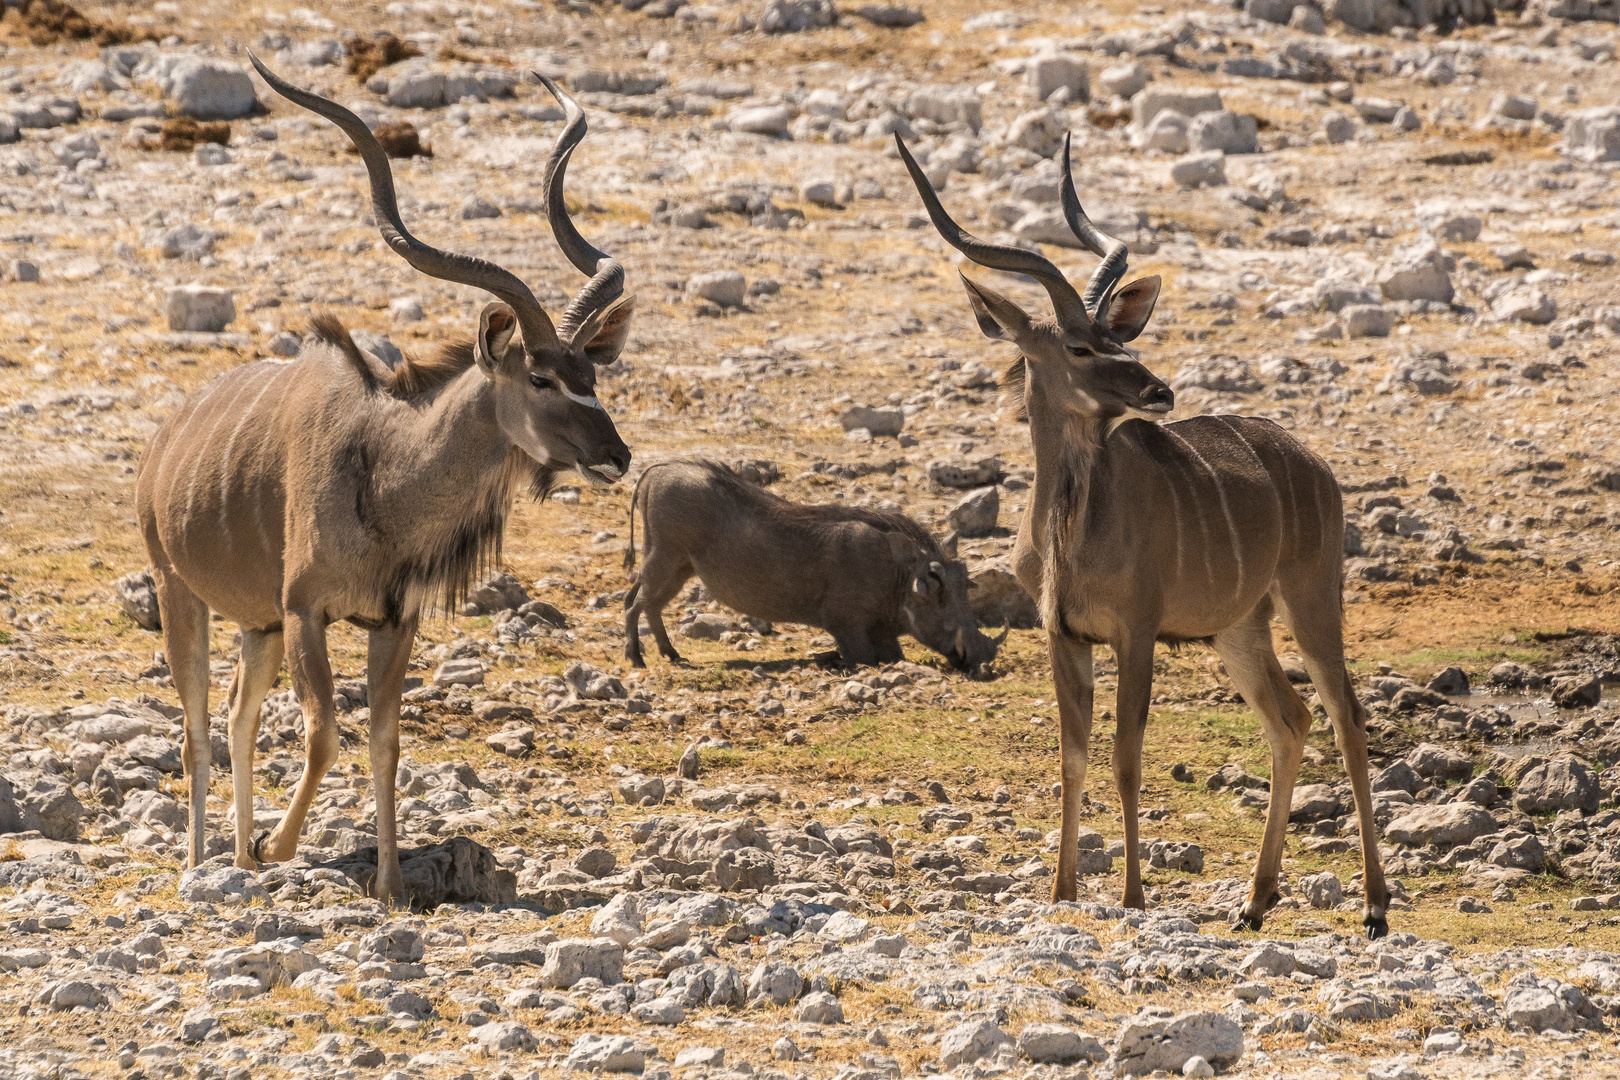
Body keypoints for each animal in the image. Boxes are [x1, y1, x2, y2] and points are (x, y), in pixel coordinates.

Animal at [134, 57, 638, 906]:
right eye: (539, 377)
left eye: (591, 374)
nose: (617, 455)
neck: (383, 471)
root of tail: (164, 444)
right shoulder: (306, 610)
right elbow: (323, 734)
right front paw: (277, 847)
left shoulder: (390, 623)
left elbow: (384, 741)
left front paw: (392, 885)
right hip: (181, 594)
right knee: (199, 728)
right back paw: (204, 863)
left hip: (257, 627)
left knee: (237, 715)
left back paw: (235, 859)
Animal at [900, 132, 1393, 939]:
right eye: (1078, 346)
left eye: (1118, 337)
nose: (1157, 390)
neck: (1073, 530)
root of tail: (1313, 464)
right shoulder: (1063, 634)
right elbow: (1072, 755)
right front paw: (1062, 891)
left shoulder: (1136, 631)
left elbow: (1127, 755)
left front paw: (1132, 896)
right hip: (1239, 628)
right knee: (1289, 719)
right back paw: (1254, 902)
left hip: (1311, 599)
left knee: (1345, 715)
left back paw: (1376, 905)